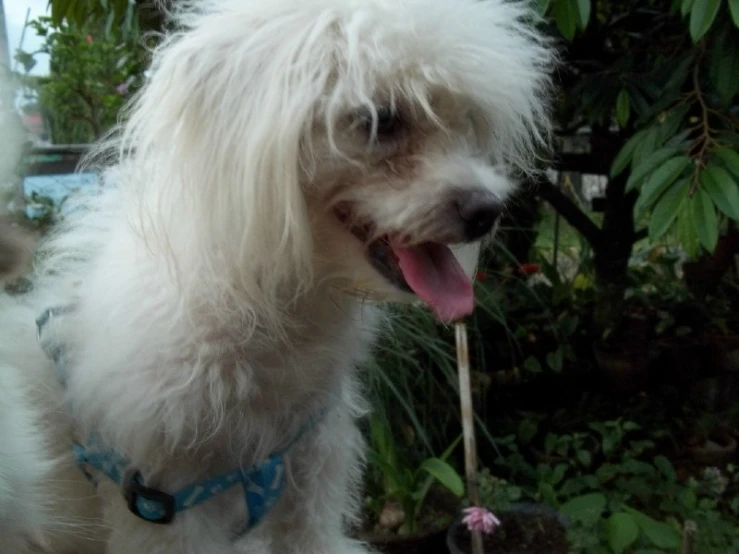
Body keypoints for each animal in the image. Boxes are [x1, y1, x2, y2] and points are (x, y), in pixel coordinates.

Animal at [0, 0, 556, 548]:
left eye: (468, 120)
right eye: (381, 120)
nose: (487, 211)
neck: (267, 313)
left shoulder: (310, 481)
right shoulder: (165, 503)